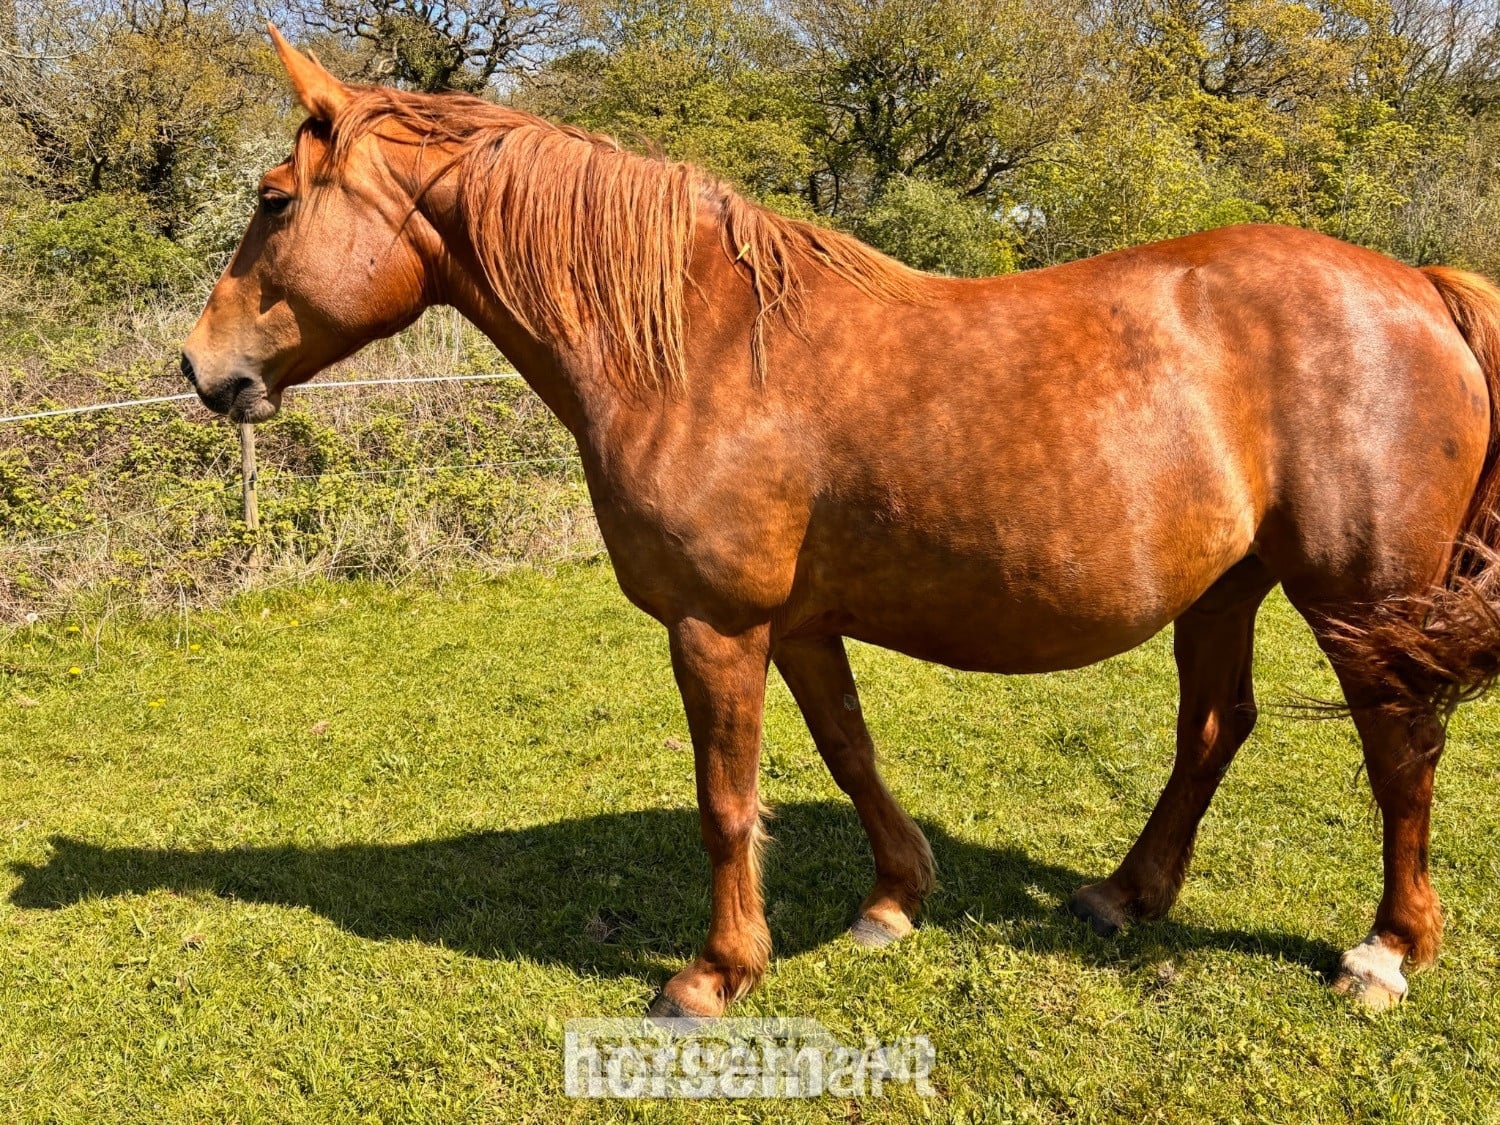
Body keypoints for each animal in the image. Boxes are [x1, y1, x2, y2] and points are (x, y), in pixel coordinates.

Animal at [182, 26, 1500, 1018]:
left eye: (273, 200)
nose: (201, 370)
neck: (700, 344)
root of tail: (1420, 285)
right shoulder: (800, 624)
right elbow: (849, 753)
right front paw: (892, 903)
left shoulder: (716, 625)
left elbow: (726, 801)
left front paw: (715, 974)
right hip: (1228, 586)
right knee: (1216, 727)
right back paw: (1126, 896)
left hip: (1362, 597)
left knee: (1400, 749)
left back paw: (1385, 952)